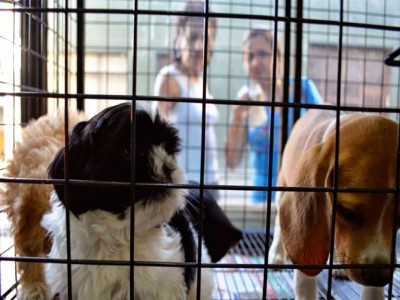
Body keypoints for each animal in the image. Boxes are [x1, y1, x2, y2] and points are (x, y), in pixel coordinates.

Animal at [268, 109, 400, 300]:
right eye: (347, 211)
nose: (377, 277)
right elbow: (305, 285)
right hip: (282, 188)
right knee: (279, 221)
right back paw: (276, 253)